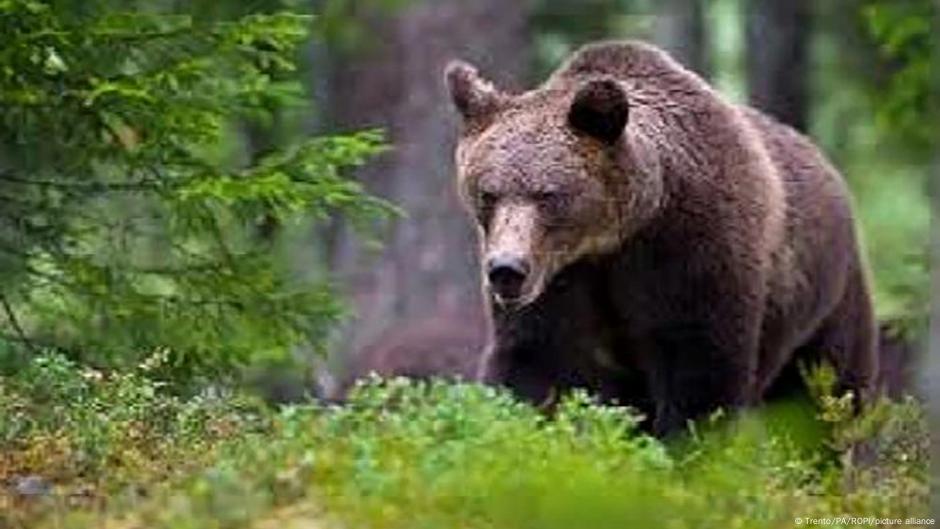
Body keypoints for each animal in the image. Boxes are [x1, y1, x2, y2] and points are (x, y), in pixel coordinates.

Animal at [444, 41, 879, 435]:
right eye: (488, 193)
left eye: (548, 195)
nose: (506, 269)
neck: (613, 237)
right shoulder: (561, 281)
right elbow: (534, 363)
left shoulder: (691, 251)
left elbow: (702, 375)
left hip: (828, 300)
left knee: (821, 395)